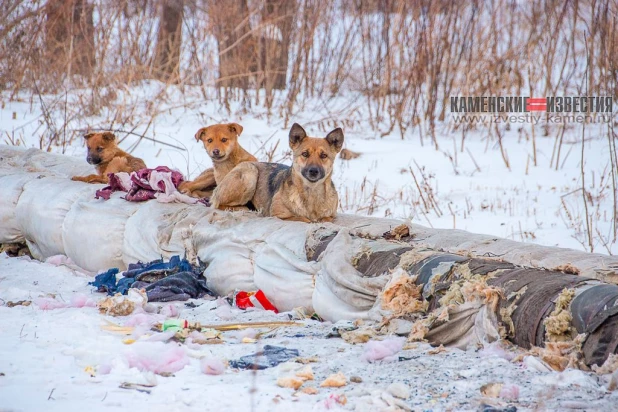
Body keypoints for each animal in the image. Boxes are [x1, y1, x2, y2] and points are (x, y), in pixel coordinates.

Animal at [211, 123, 346, 222]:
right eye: (305, 154)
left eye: (323, 155)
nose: (313, 171)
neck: (311, 192)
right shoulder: (278, 215)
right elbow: (303, 219)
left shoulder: (331, 216)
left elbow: (325, 219)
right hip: (250, 172)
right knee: (218, 204)